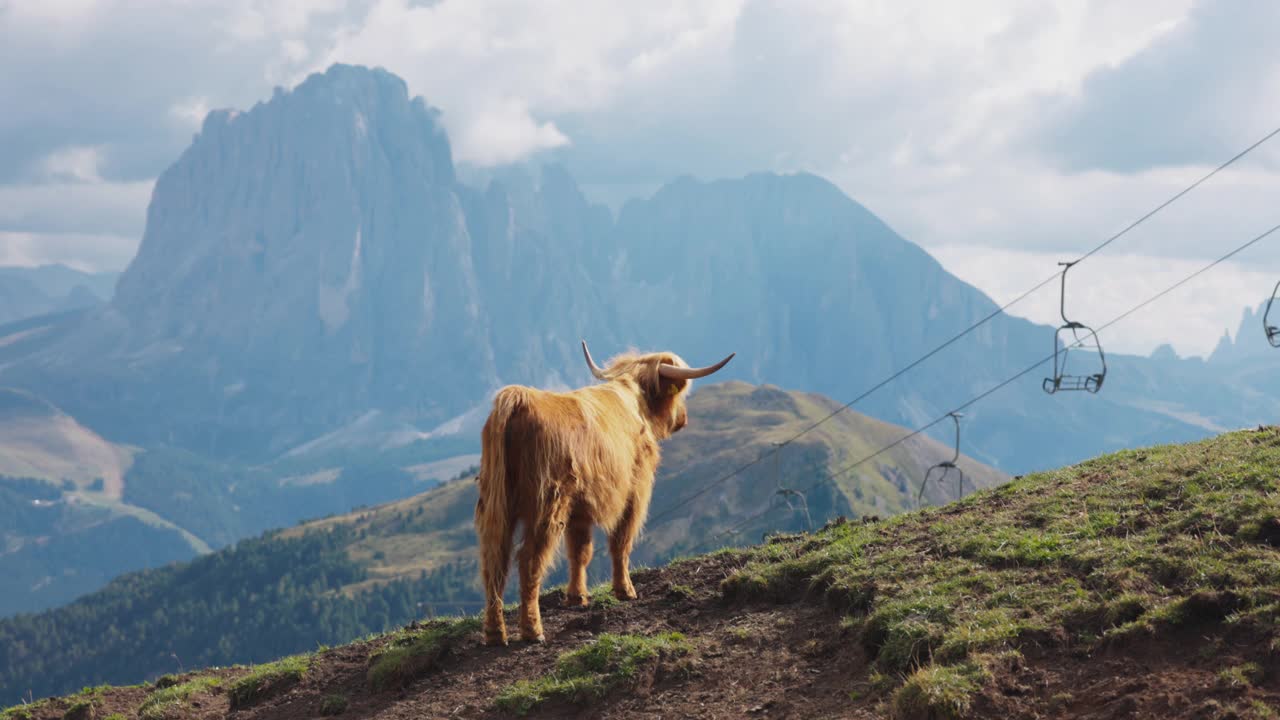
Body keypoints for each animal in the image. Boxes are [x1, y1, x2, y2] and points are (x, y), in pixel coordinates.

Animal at [473, 338, 737, 640]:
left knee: (494, 560)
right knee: (528, 560)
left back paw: (495, 632)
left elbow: (580, 551)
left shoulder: (579, 509)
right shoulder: (635, 490)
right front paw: (625, 591)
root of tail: (519, 398)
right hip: (547, 506)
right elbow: (621, 540)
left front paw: (577, 597)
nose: (683, 418)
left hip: (496, 505)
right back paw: (532, 630)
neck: (636, 403)